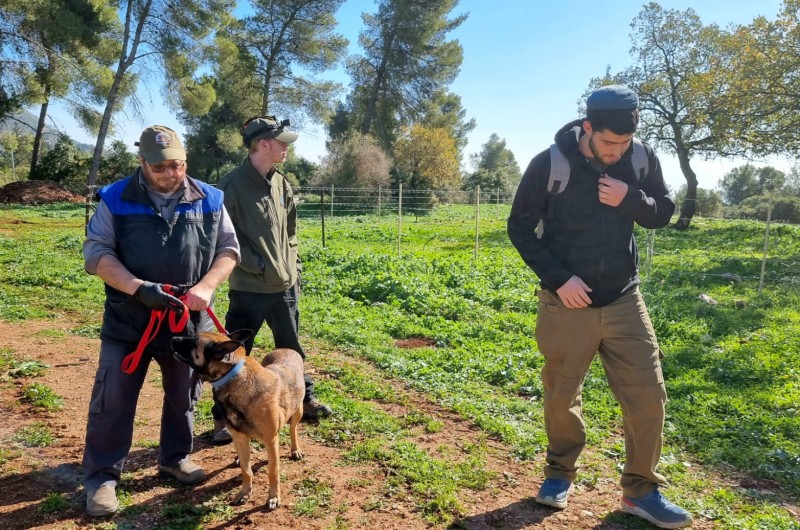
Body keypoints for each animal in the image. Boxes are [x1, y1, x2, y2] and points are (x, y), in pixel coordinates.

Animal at [171, 330, 304, 508]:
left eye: (193, 340)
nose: (172, 338)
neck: (232, 376)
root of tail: (286, 349)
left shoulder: (271, 441)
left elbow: (273, 472)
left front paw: (274, 497)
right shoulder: (239, 437)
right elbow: (246, 470)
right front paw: (244, 493)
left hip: (298, 411)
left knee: (293, 429)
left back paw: (295, 449)